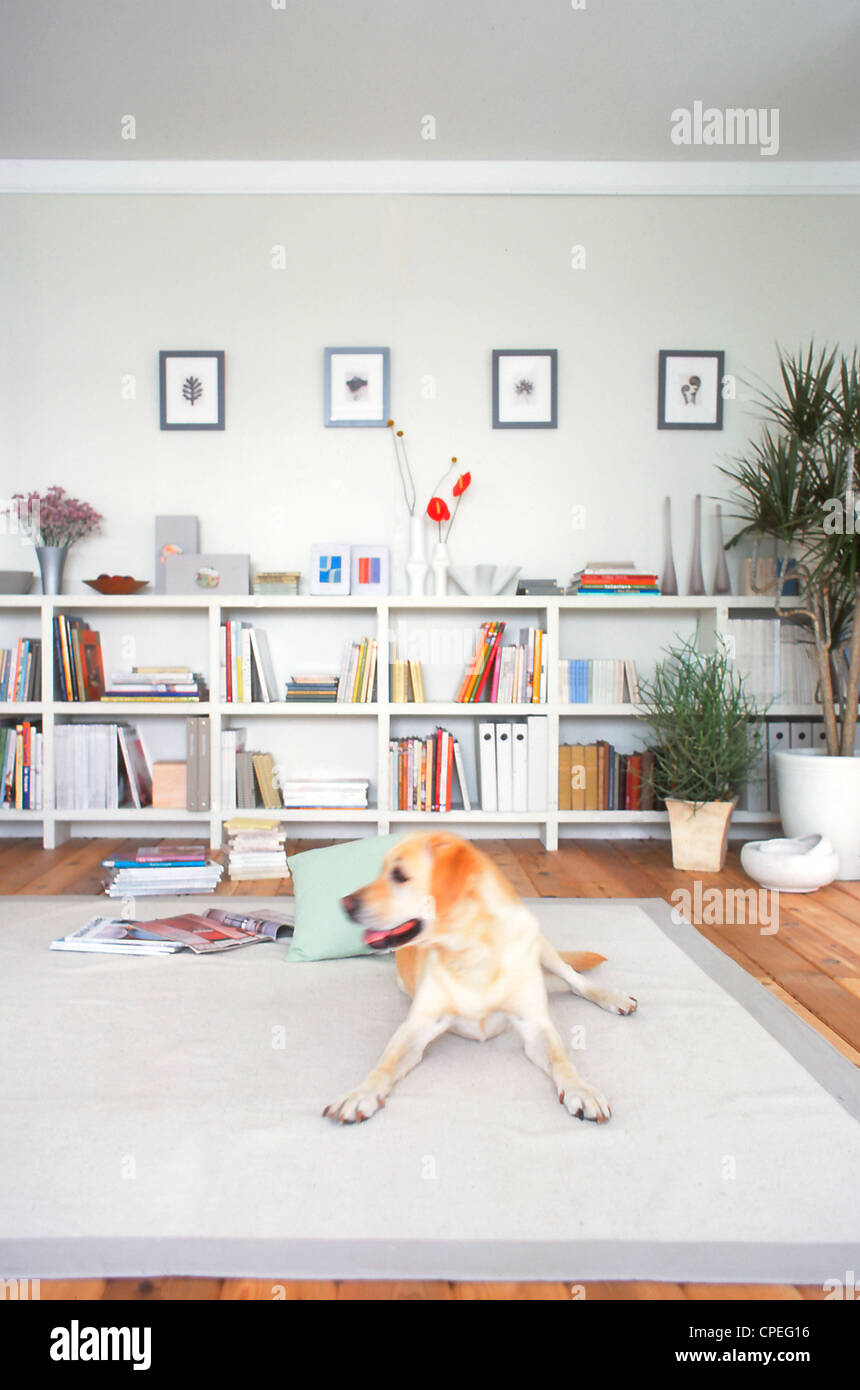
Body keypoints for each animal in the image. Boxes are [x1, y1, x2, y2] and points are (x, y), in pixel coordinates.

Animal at [326, 828, 636, 1123]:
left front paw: (581, 1090)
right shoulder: (417, 1027)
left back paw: (612, 997)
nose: (344, 904)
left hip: (540, 945)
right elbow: (383, 1064)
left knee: (574, 979)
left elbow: (562, 1060)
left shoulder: (535, 1025)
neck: (473, 953)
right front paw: (360, 1094)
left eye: (400, 876)